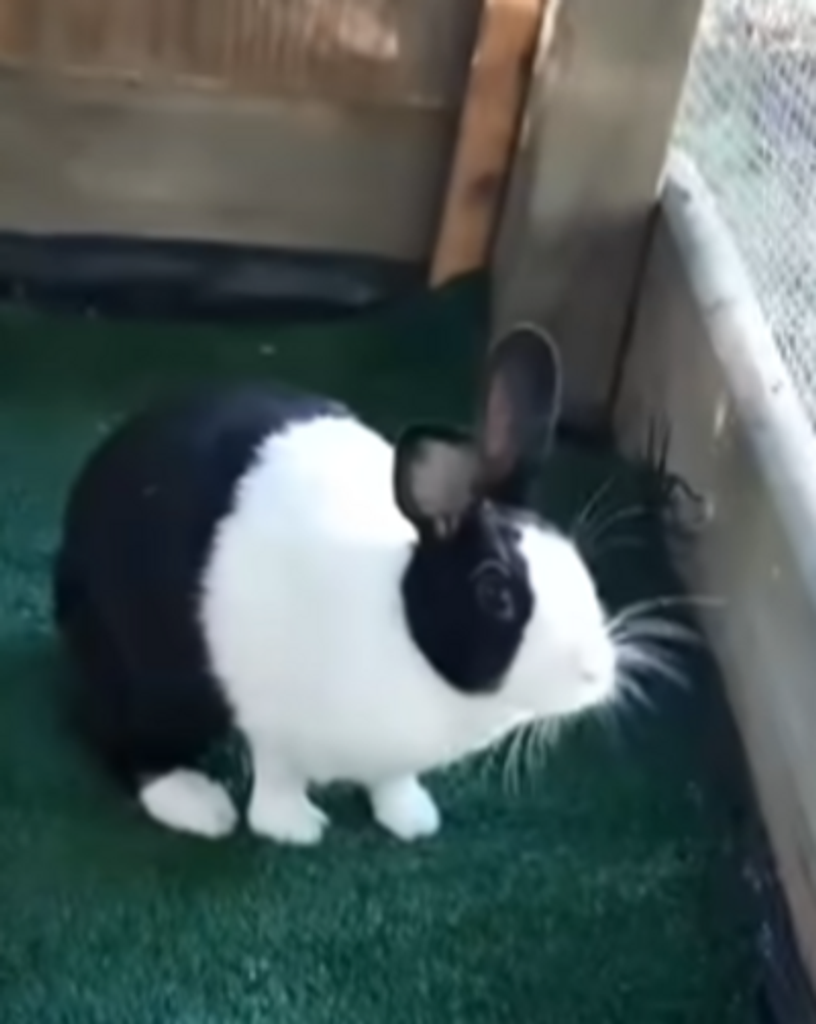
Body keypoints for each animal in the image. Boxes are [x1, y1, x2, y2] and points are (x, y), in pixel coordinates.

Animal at [52, 323, 618, 844]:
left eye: (579, 565)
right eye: (495, 593)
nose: (596, 672)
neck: (401, 617)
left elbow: (392, 781)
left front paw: (411, 819)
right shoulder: (271, 720)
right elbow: (278, 778)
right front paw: (293, 829)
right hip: (157, 682)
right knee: (121, 740)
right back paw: (199, 806)